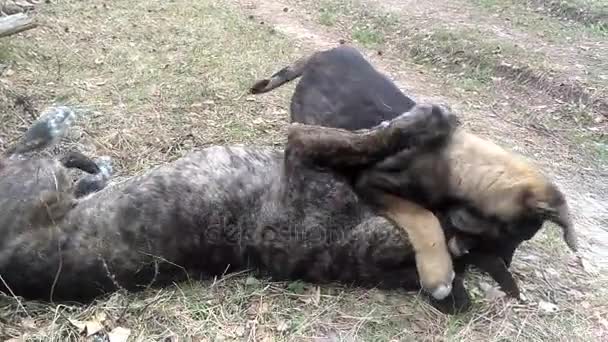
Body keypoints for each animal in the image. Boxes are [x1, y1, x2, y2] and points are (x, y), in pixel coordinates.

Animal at [0, 103, 476, 314]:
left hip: (43, 178)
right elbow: (371, 137)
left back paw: (74, 148)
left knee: (40, 155)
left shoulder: (306, 145)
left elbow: (369, 138)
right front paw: (428, 122)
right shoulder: (305, 143)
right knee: (38, 153)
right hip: (43, 177)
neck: (344, 243)